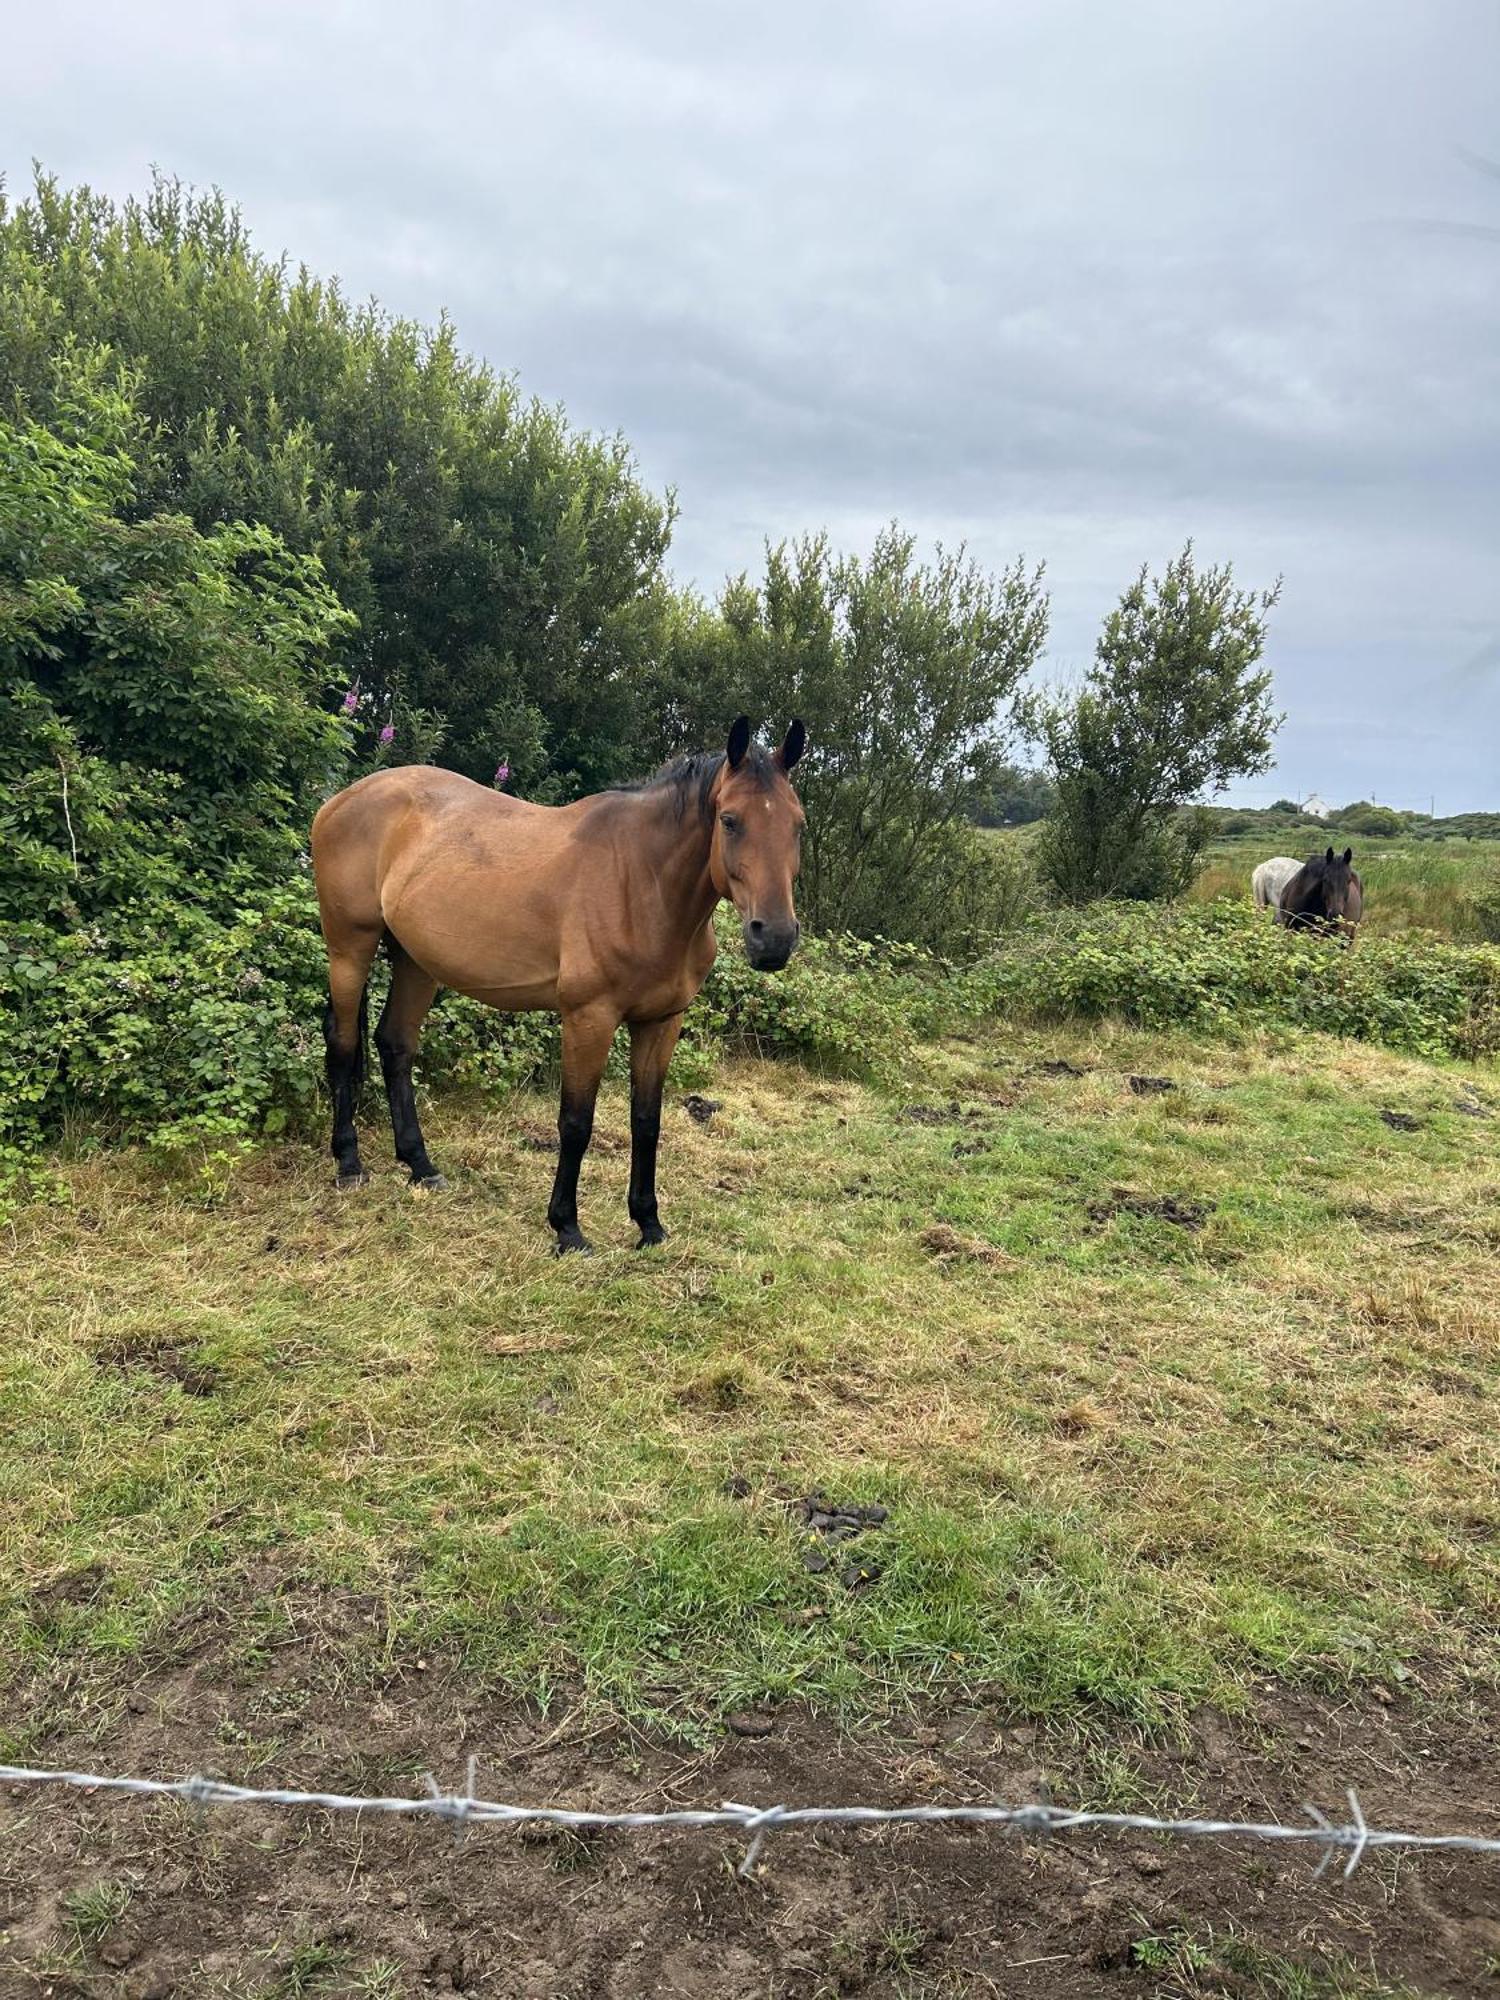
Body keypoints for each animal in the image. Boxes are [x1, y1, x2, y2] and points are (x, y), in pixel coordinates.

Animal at [308, 720, 812, 1248]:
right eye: (730, 820)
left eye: (797, 825)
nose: (774, 938)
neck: (642, 883)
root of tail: (342, 799)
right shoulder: (589, 1019)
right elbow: (576, 1122)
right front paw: (568, 1228)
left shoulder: (661, 1022)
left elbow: (647, 1120)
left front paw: (649, 1224)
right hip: (350, 947)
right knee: (343, 1043)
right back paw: (349, 1164)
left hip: (416, 960)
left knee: (395, 1045)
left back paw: (421, 1166)